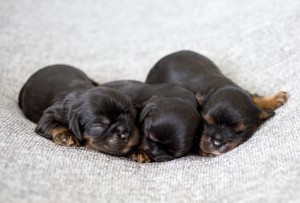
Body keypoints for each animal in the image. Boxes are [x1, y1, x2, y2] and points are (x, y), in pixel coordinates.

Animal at [146, 50, 290, 157]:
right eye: (206, 122)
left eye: (239, 131)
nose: (217, 143)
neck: (218, 86)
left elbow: (255, 98)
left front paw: (274, 98)